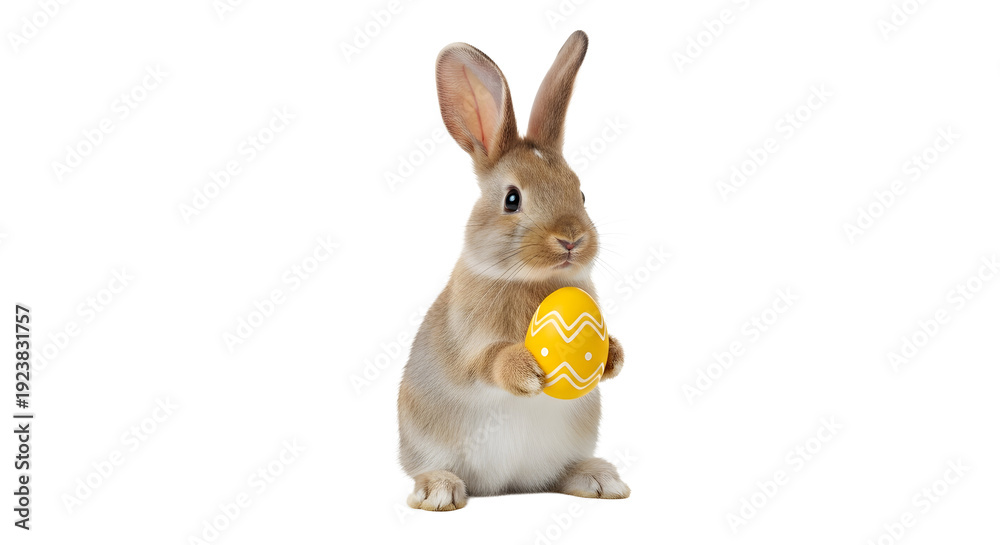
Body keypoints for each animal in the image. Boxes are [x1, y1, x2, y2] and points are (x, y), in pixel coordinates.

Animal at [397, 30, 628, 511]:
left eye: (581, 193)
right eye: (511, 199)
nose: (571, 239)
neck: (534, 280)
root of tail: (504, 487)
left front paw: (612, 356)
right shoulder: (470, 343)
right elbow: (487, 361)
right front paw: (528, 371)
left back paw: (601, 480)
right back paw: (438, 491)